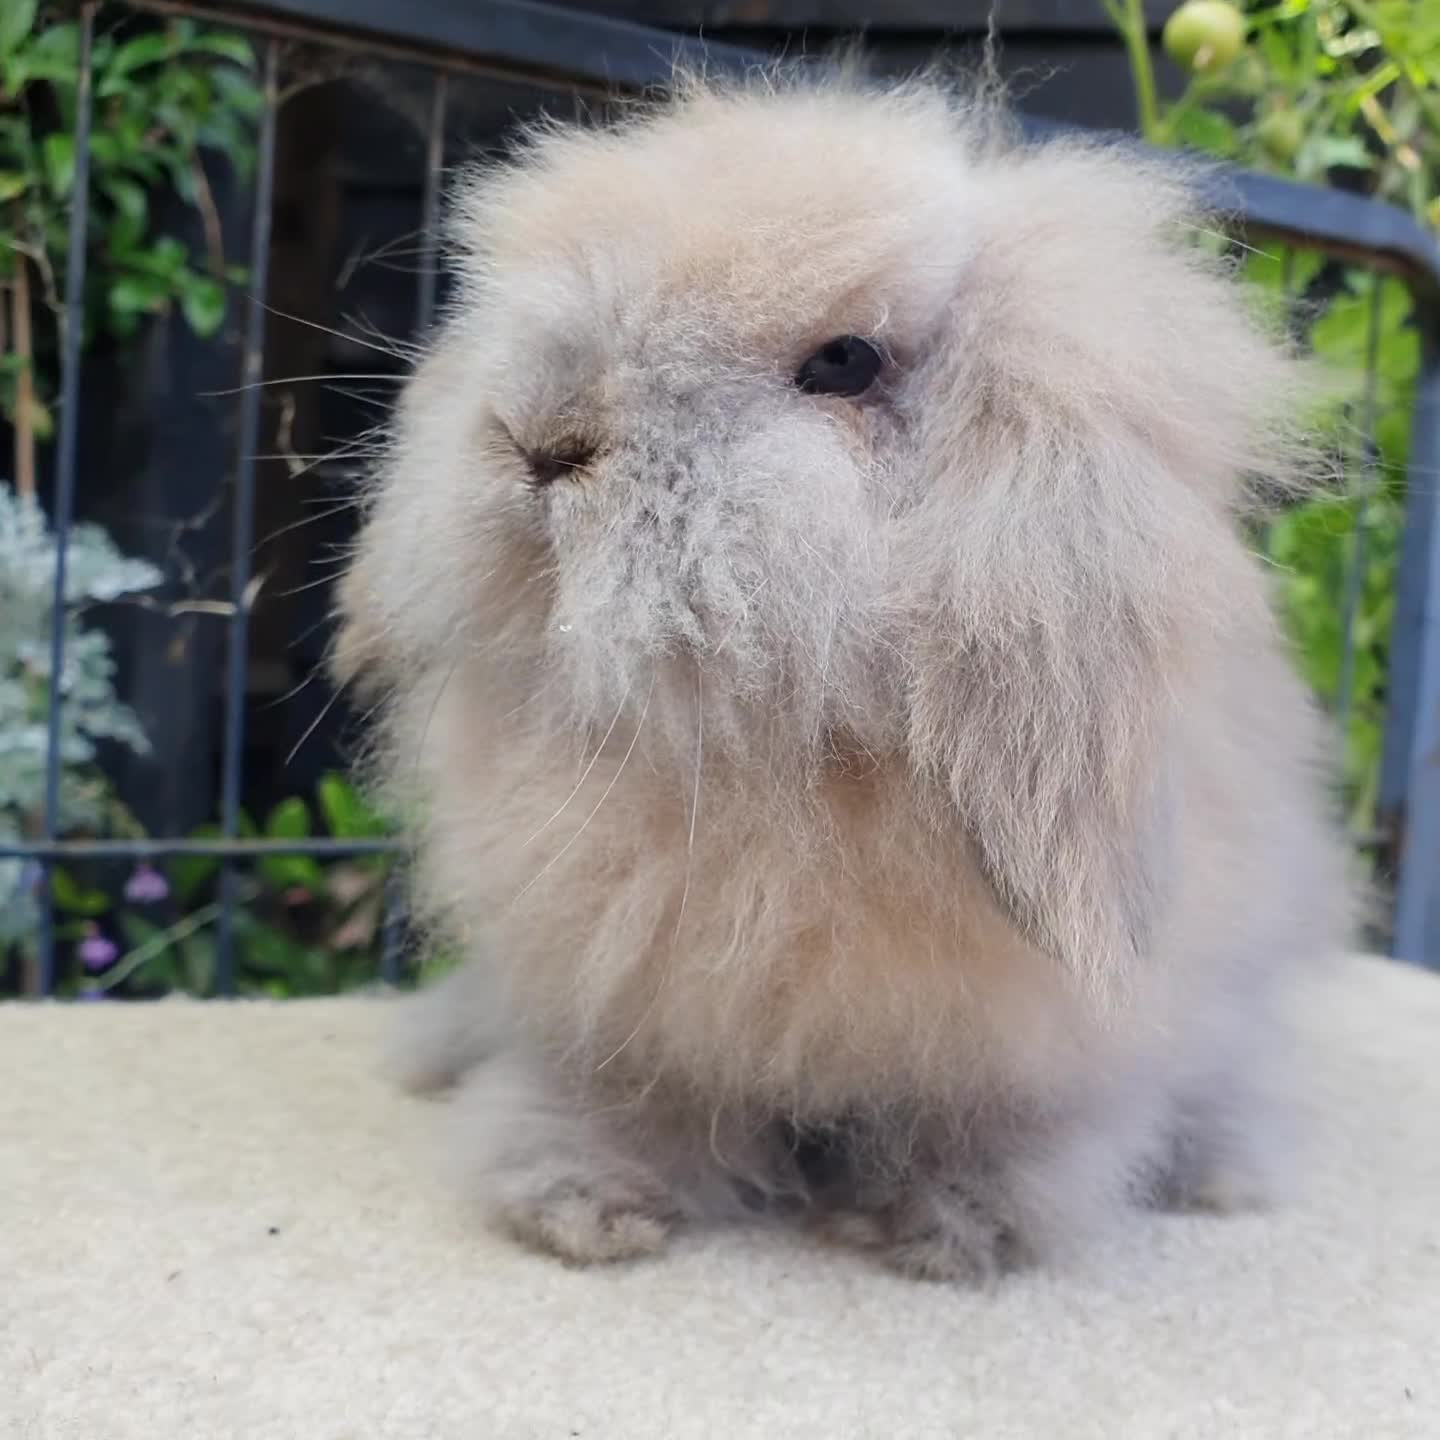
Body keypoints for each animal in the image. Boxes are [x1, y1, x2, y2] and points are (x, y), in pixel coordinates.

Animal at [332, 70, 1352, 1284]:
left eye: (845, 363)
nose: (538, 437)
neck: (771, 766)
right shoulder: (623, 999)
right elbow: (631, 1096)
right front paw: (577, 1204)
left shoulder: (1046, 1043)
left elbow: (1011, 1128)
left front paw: (948, 1229)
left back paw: (1222, 1174)